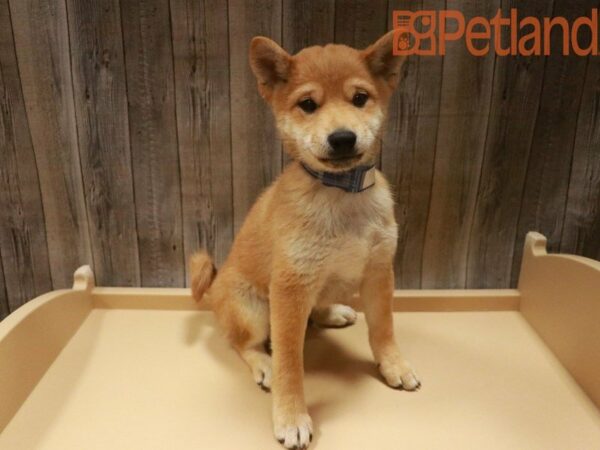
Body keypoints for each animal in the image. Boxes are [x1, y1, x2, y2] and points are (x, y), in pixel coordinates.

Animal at [190, 29, 420, 448]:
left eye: (359, 98)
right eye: (308, 104)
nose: (343, 138)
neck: (342, 195)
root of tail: (215, 286)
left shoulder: (379, 272)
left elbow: (383, 328)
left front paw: (393, 365)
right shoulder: (290, 287)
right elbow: (290, 365)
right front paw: (291, 415)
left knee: (316, 311)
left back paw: (332, 312)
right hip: (253, 310)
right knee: (242, 344)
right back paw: (262, 364)